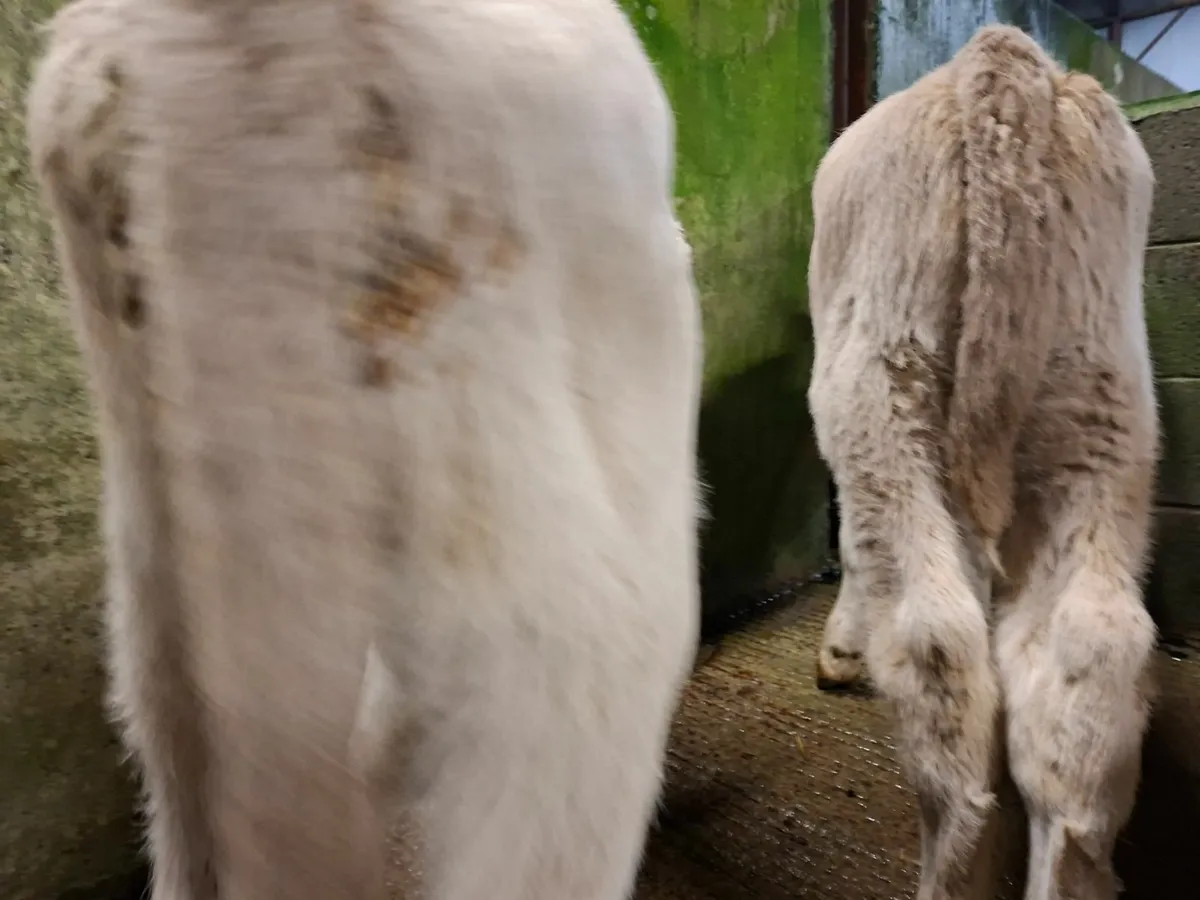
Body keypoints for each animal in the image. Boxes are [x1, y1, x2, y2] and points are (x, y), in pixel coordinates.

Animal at [807, 24, 1159, 900]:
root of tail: (998, 58)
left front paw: (841, 651)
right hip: (1100, 403)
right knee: (1087, 652)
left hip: (882, 389)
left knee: (939, 641)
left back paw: (953, 864)